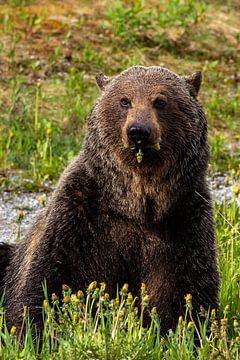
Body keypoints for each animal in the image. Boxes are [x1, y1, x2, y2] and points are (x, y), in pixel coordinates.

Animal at [0, 65, 219, 334]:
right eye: (124, 100)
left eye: (160, 100)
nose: (138, 131)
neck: (137, 203)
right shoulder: (81, 215)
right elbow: (48, 280)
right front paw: (35, 330)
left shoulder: (183, 221)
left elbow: (188, 291)